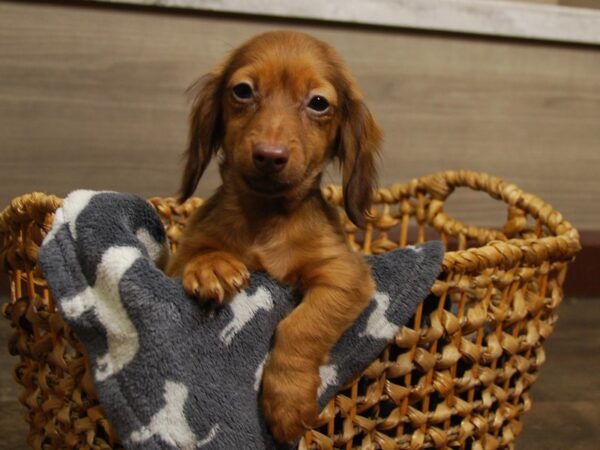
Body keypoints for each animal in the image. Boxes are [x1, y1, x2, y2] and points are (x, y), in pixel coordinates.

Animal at [165, 31, 380, 442]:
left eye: (318, 103)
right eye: (243, 90)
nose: (269, 155)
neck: (265, 218)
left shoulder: (344, 275)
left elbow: (301, 327)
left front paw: (287, 401)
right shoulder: (174, 261)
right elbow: (199, 256)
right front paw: (212, 266)